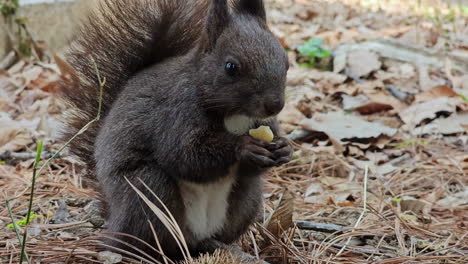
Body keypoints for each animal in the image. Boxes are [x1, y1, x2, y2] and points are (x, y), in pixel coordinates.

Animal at [59, 0, 292, 260]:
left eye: (286, 62)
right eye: (231, 67)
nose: (275, 105)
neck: (234, 115)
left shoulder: (263, 122)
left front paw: (284, 148)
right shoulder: (176, 114)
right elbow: (184, 156)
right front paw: (243, 147)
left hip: (246, 200)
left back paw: (216, 245)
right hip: (148, 192)